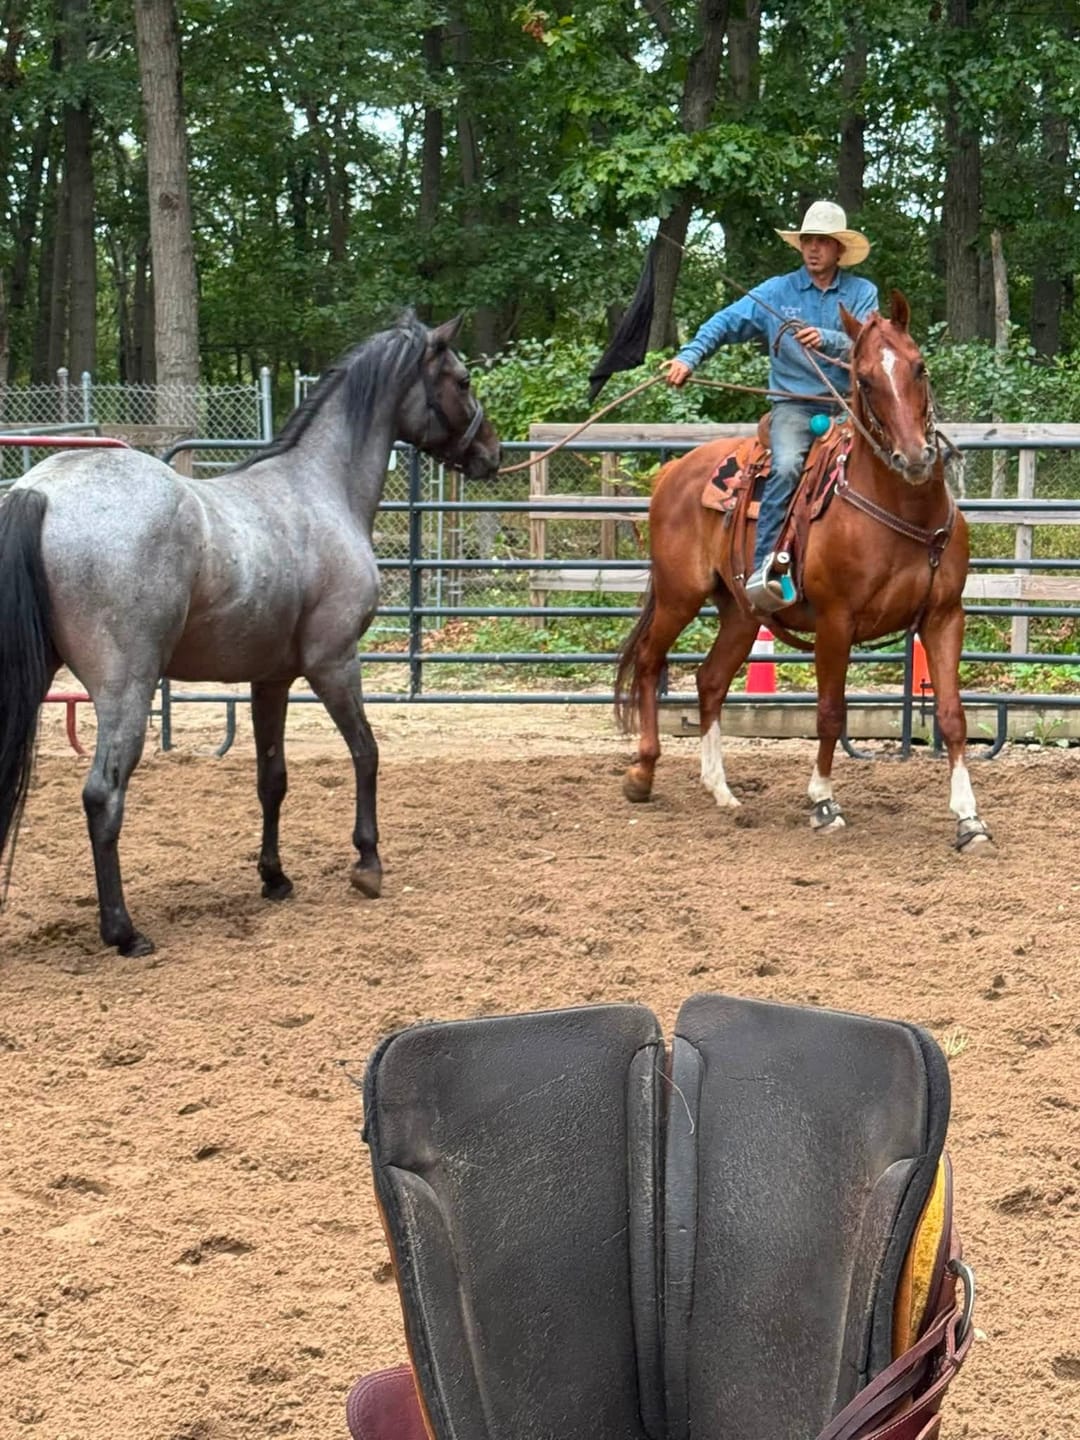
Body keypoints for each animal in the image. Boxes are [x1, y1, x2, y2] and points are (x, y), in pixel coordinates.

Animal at [0, 313, 500, 957]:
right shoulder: (335, 664)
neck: (319, 486)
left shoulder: (272, 680)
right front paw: (367, 864)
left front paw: (274, 877)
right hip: (126, 689)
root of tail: (41, 488)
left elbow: (273, 778)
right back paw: (123, 932)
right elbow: (366, 753)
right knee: (103, 795)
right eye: (462, 380)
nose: (493, 453)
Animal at [614, 291, 991, 850]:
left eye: (919, 366)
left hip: (741, 613)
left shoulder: (944, 616)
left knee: (710, 680)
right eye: (864, 380)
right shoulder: (836, 622)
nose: (915, 457)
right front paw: (823, 802)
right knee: (648, 661)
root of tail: (673, 472)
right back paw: (642, 773)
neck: (903, 511)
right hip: (680, 594)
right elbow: (831, 713)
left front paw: (969, 819)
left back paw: (722, 791)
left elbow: (953, 716)